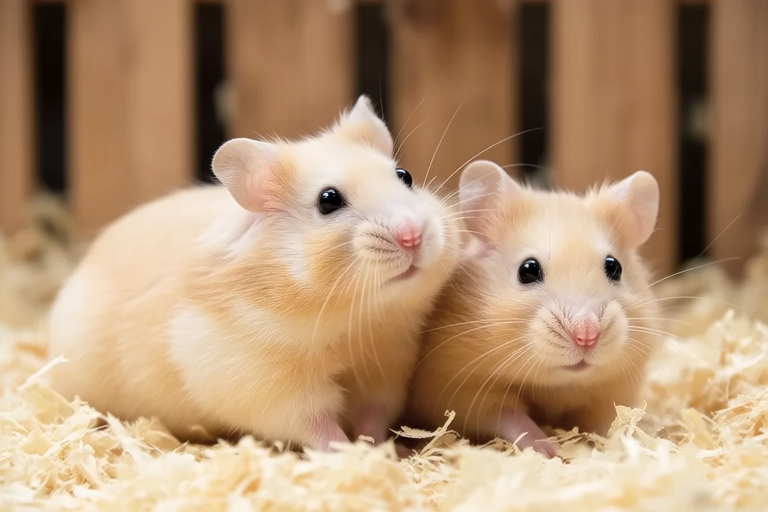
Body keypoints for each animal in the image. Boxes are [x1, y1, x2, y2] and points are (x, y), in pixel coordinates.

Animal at [47, 96, 461, 451]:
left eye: (405, 176)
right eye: (328, 200)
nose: (412, 235)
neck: (358, 320)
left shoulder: (385, 370)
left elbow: (373, 418)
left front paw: (385, 452)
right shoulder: (267, 388)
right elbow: (318, 427)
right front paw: (351, 453)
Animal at [406, 160, 660, 456]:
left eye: (614, 267)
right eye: (527, 269)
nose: (587, 336)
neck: (559, 384)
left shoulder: (611, 392)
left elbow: (608, 425)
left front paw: (626, 444)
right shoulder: (459, 389)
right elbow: (512, 418)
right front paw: (553, 450)